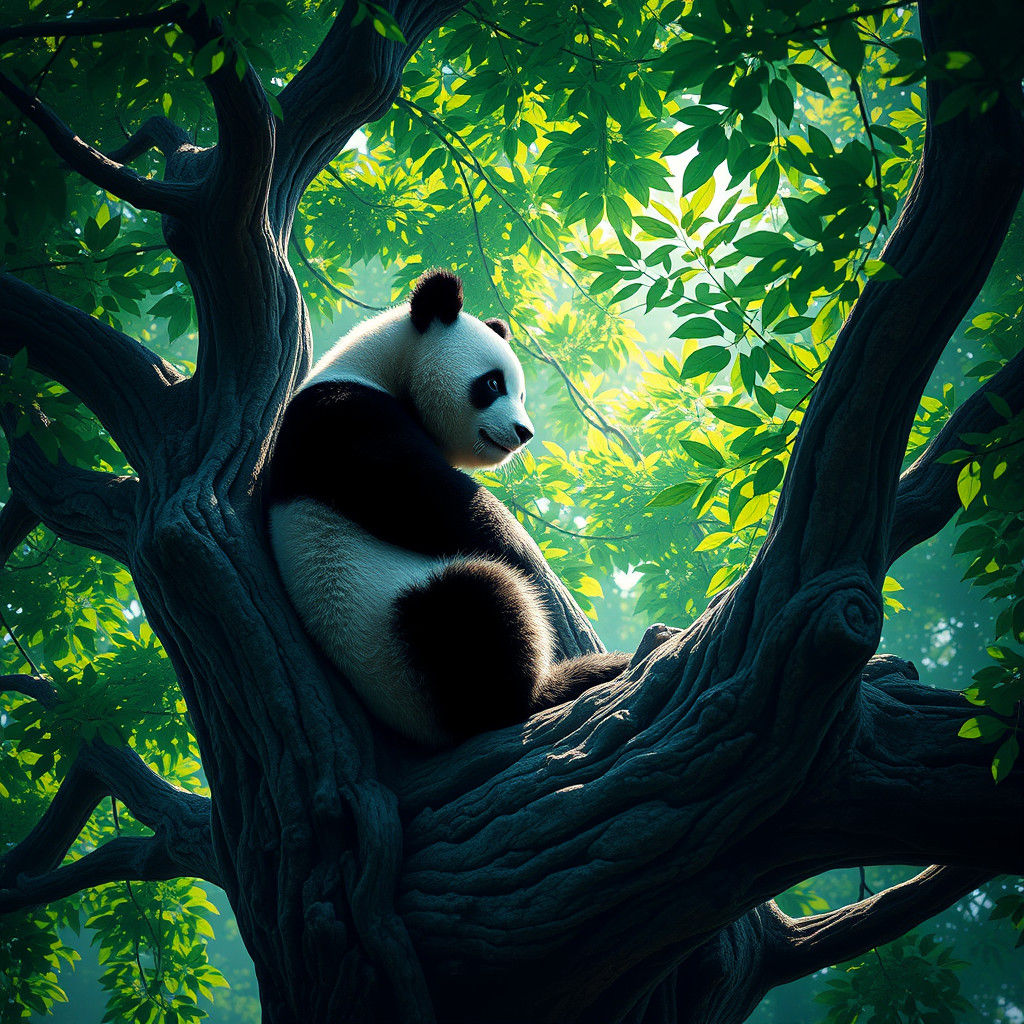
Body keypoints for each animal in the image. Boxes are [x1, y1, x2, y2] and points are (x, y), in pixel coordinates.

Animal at [266, 268, 631, 748]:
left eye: (521, 393)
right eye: (492, 384)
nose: (524, 433)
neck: (376, 366)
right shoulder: (348, 420)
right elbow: (433, 503)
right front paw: (533, 564)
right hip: (402, 645)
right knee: (477, 602)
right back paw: (559, 683)